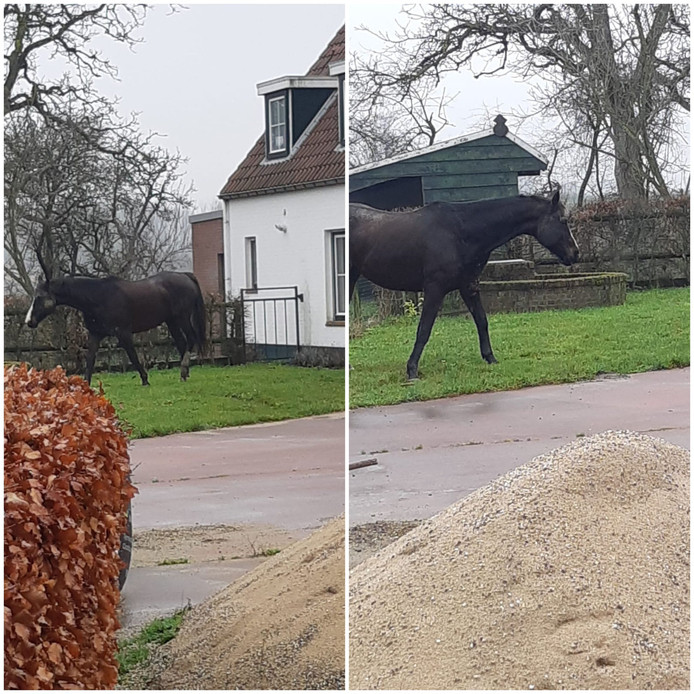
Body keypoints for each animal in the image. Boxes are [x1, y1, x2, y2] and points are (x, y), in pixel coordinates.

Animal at [25, 272, 209, 386]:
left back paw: (183, 371)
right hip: (172, 321)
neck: (98, 297)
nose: (29, 321)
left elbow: (133, 356)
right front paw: (85, 385)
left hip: (182, 318)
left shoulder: (123, 333)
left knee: (191, 339)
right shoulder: (95, 334)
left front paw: (145, 380)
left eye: (40, 297)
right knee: (182, 343)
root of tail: (185, 275)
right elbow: (90, 360)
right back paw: (185, 373)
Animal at [350, 192, 580, 380]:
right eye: (563, 220)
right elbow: (424, 330)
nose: (575, 253)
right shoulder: (434, 289)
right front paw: (412, 369)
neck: (461, 231)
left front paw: (490, 358)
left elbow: (482, 321)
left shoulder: (469, 286)